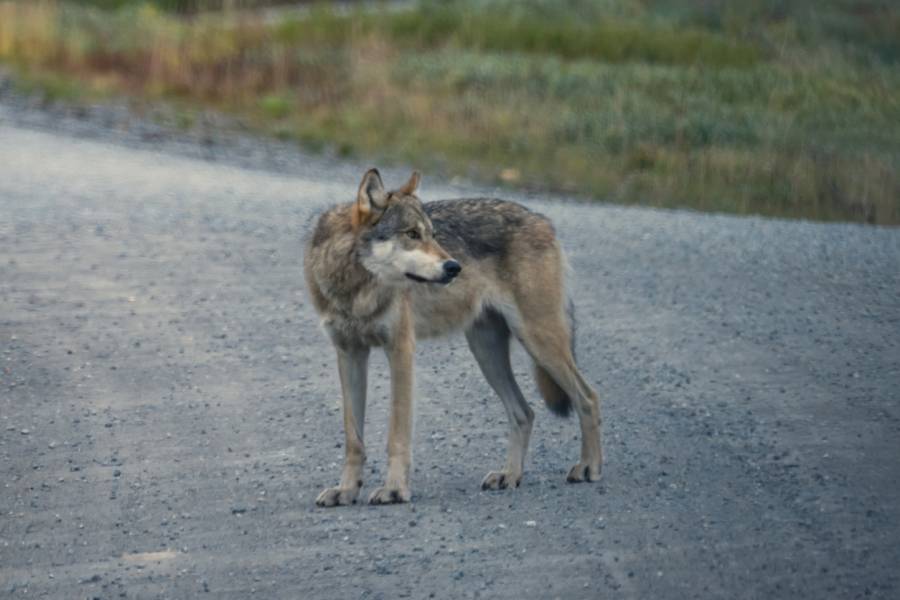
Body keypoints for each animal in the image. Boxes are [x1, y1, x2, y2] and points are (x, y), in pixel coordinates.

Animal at [304, 169, 604, 506]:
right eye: (411, 234)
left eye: (432, 234)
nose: (454, 267)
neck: (355, 288)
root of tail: (543, 220)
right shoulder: (349, 354)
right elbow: (353, 438)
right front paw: (346, 491)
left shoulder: (401, 350)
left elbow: (397, 434)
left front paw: (394, 489)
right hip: (487, 351)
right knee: (525, 412)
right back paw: (510, 475)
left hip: (538, 340)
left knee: (588, 397)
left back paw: (588, 468)